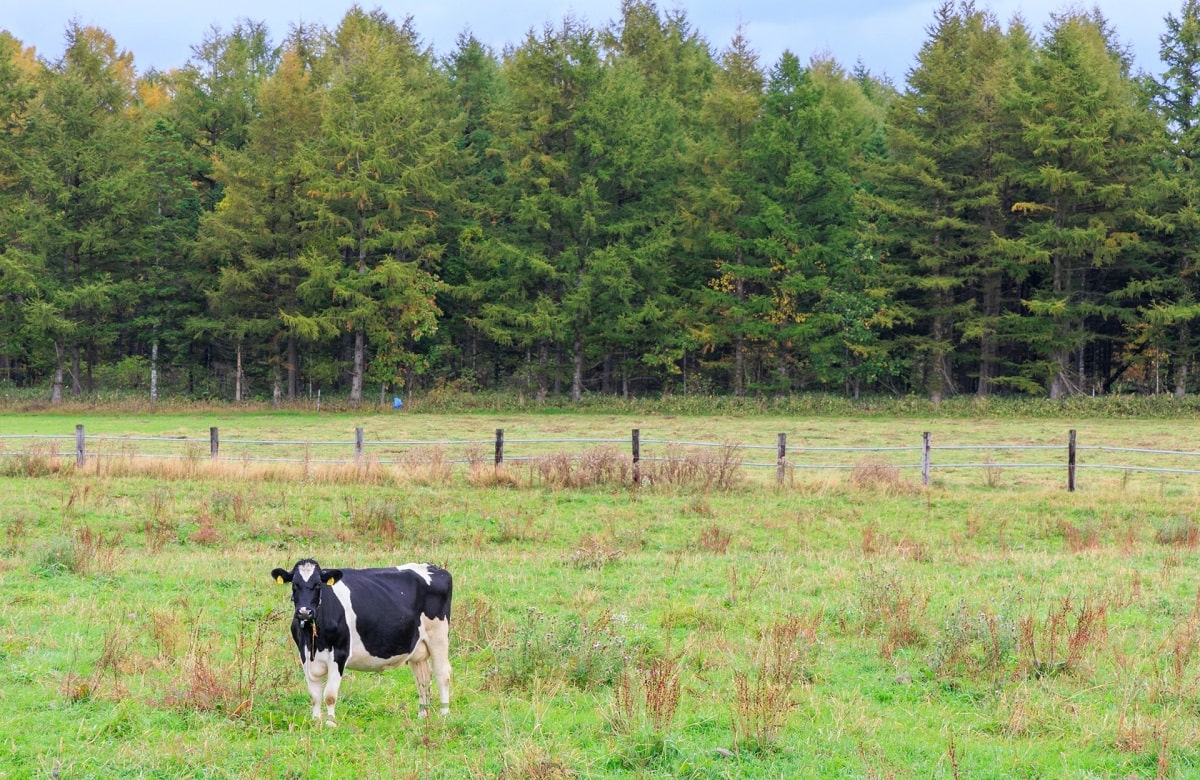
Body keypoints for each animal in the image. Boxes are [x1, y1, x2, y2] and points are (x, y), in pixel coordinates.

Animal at [270, 556, 451, 720]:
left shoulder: (339, 654)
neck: (313, 640)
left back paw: (444, 715)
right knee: (423, 678)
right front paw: (316, 722)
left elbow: (329, 695)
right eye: (294, 584)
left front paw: (330, 723)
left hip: (439, 636)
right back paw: (423, 717)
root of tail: (434, 567)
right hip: (417, 647)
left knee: (442, 673)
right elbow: (314, 695)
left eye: (318, 584)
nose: (304, 612)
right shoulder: (305, 655)